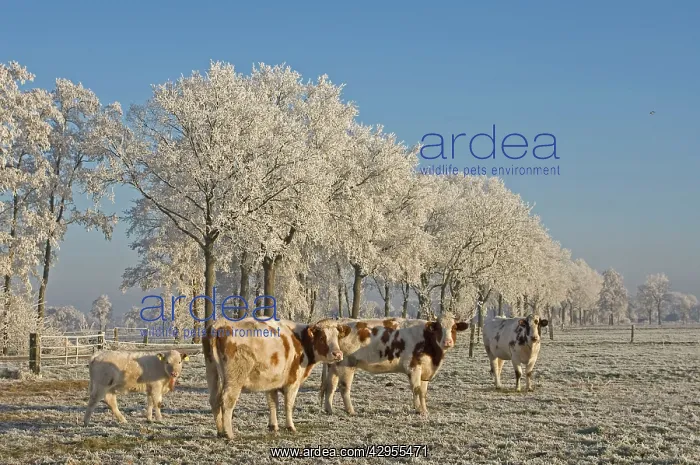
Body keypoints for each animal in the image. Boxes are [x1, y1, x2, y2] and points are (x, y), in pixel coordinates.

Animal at [202, 317, 350, 439]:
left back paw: (220, 431)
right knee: (227, 401)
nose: (337, 354)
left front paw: (273, 426)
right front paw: (290, 426)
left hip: (212, 372)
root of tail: (221, 323)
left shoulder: (271, 381)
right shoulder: (293, 382)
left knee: (214, 400)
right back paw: (229, 434)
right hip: (235, 378)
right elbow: (288, 404)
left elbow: (273, 403)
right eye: (321, 338)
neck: (300, 341)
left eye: (337, 337)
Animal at [320, 314, 468, 416]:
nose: (447, 342)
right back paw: (350, 411)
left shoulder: (425, 371)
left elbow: (423, 392)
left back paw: (329, 409)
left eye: (454, 328)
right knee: (344, 387)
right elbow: (416, 389)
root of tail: (339, 323)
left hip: (334, 365)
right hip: (346, 364)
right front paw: (418, 410)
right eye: (438, 328)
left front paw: (425, 410)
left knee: (330, 386)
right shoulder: (413, 367)